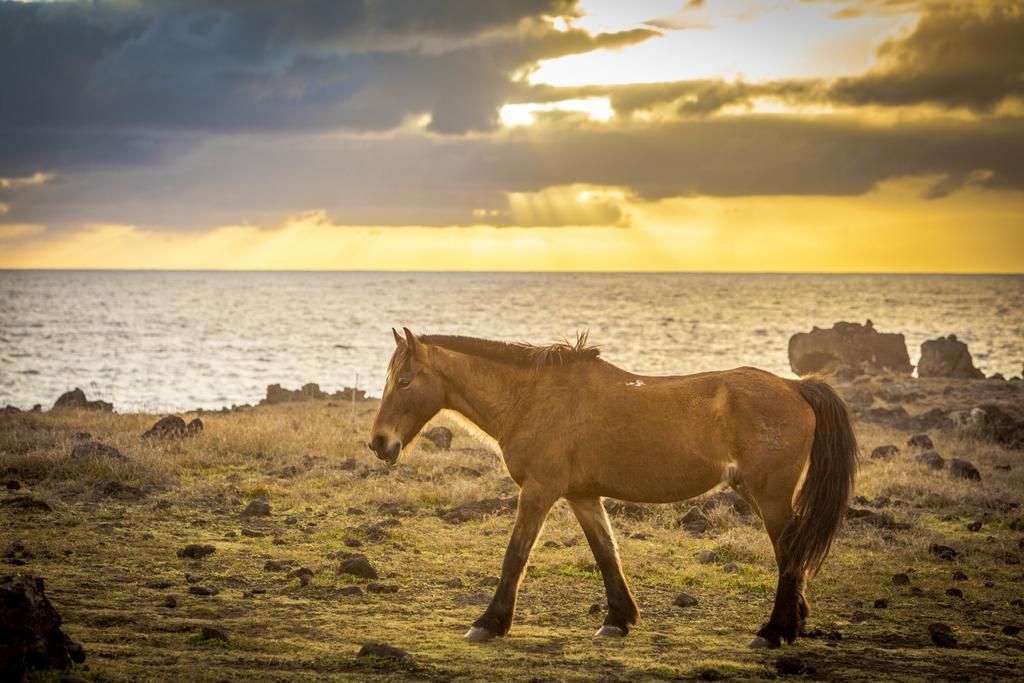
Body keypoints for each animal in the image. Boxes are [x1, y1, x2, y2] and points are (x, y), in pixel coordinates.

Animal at [368, 327, 856, 651]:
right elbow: (606, 553)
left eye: (405, 381)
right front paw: (618, 620)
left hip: (769, 496)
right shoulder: (582, 496)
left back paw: (773, 632)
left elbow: (515, 555)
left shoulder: (539, 491)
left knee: (790, 551)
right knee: (791, 551)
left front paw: (489, 623)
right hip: (757, 494)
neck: (531, 398)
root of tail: (795, 386)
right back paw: (792, 624)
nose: (379, 443)